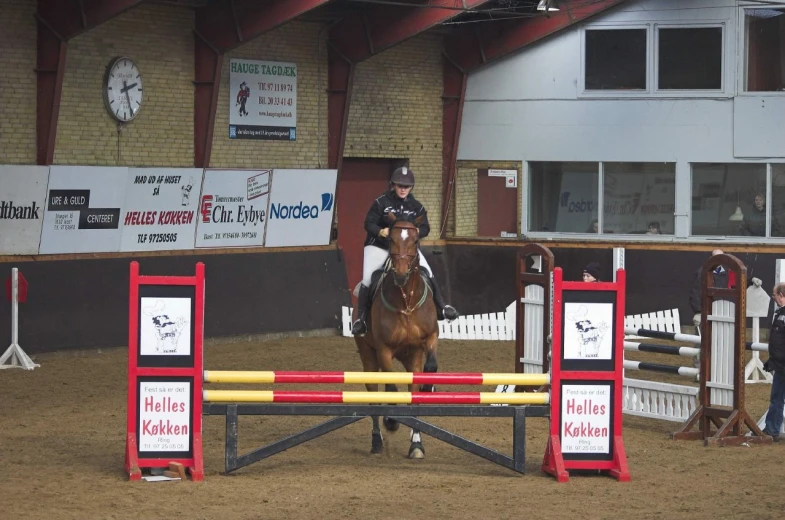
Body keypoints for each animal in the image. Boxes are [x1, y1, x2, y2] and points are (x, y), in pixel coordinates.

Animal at [352, 213, 438, 458]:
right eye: (390, 239)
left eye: (415, 241)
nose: (400, 275)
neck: (406, 302)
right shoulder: (384, 350)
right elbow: (390, 386)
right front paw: (391, 421)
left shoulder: (428, 339)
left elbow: (430, 368)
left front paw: (428, 389)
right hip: (369, 357)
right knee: (374, 395)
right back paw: (377, 441)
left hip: (410, 357)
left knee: (412, 388)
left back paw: (415, 442)